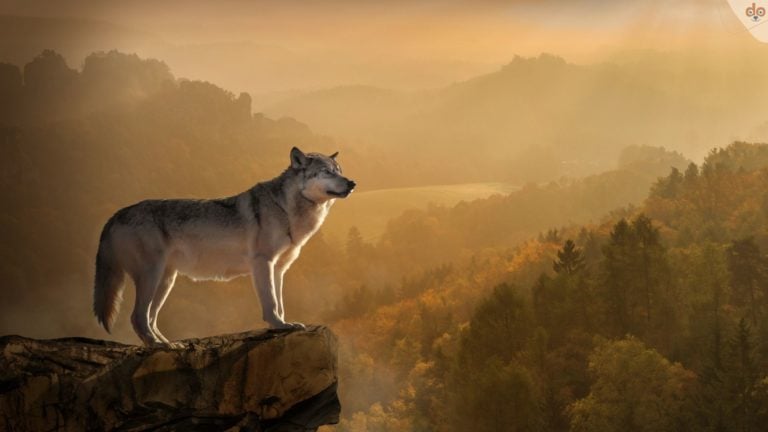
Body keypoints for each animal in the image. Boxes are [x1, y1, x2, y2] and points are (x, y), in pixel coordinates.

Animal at [93, 147, 355, 346]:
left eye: (340, 171)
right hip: (152, 276)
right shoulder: (263, 263)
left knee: (150, 318)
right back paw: (159, 346)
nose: (352, 183)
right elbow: (270, 302)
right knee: (138, 317)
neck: (286, 209)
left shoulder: (279, 269)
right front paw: (279, 325)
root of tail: (116, 214)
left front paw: (284, 324)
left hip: (166, 281)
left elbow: (280, 303)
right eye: (326, 172)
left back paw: (168, 344)